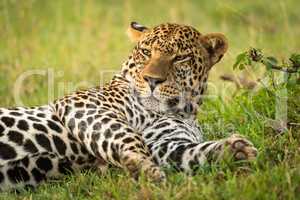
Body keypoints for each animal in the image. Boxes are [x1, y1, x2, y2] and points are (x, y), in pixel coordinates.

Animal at [0, 21, 258, 191]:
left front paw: (234, 151)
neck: (185, 111)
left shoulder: (166, 143)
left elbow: (191, 153)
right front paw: (144, 169)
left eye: (180, 58)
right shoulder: (81, 103)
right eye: (146, 52)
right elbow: (125, 135)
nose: (152, 80)